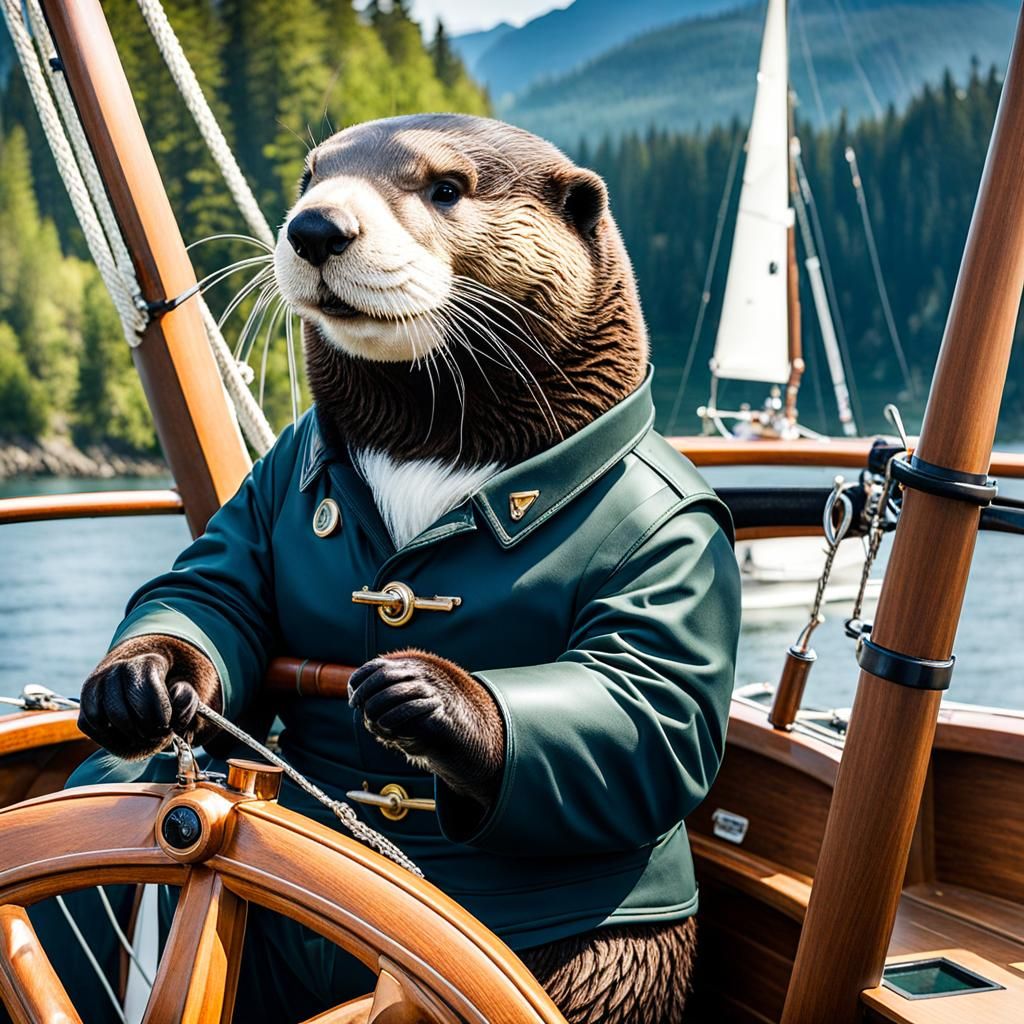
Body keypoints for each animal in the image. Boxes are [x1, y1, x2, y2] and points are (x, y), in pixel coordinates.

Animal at [74, 114, 741, 1024]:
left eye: (446, 186)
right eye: (311, 174)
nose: (315, 226)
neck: (437, 462)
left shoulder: (682, 536)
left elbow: (655, 705)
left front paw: (428, 694)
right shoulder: (271, 481)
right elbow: (211, 591)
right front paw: (139, 679)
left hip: (606, 967)